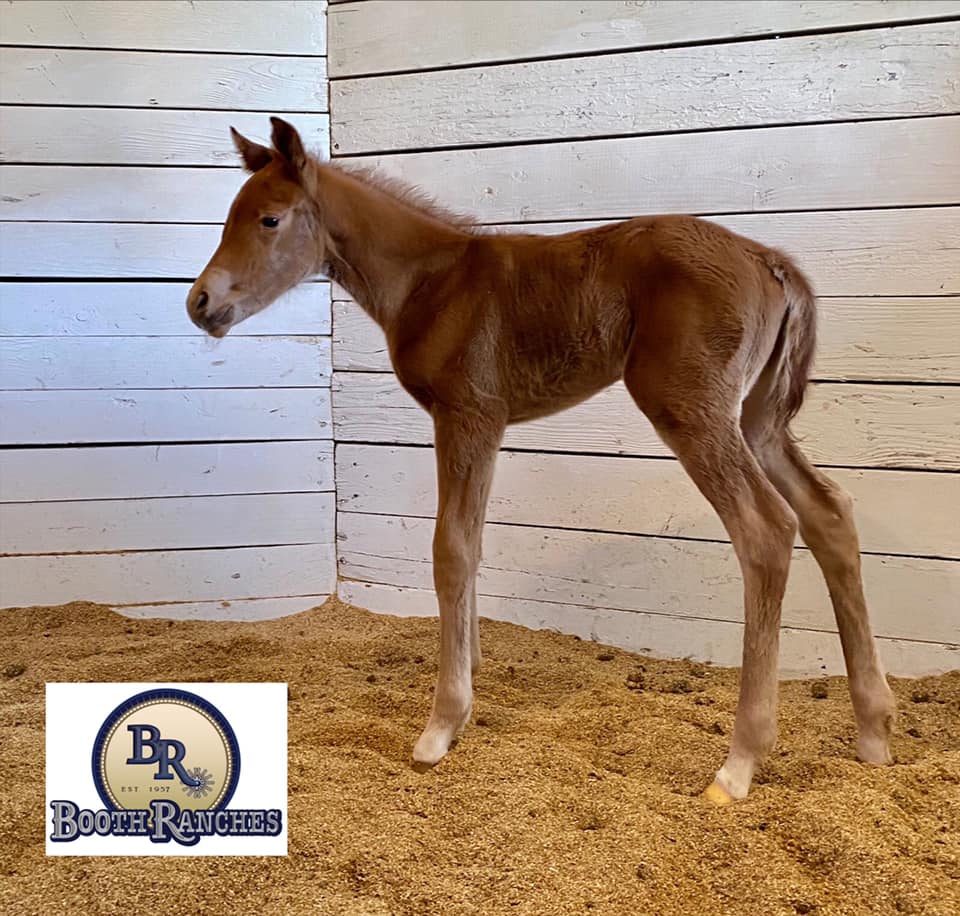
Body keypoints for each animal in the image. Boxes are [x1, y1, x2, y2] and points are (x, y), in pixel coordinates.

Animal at [187, 117, 896, 804]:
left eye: (269, 219)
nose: (199, 303)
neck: (433, 282)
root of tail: (769, 260)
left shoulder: (466, 416)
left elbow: (450, 550)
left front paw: (442, 723)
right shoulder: (486, 426)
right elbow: (471, 543)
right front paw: (468, 687)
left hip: (690, 409)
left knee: (766, 528)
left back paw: (739, 763)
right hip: (758, 419)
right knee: (829, 512)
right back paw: (874, 731)